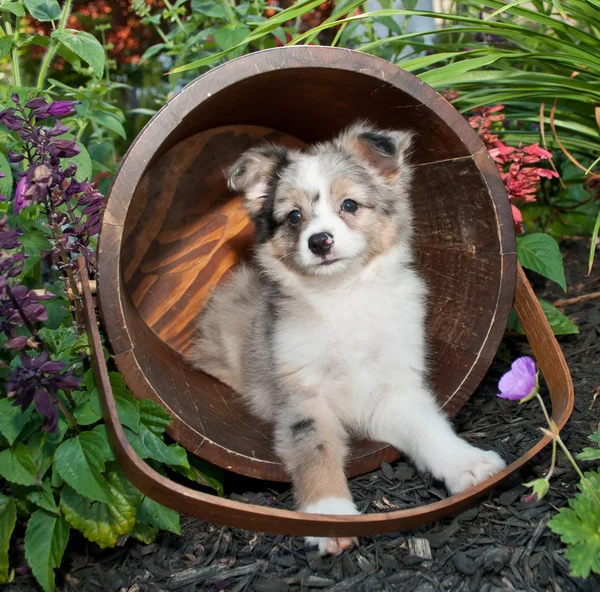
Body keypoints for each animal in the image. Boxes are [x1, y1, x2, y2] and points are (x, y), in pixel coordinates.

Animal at [189, 120, 506, 556]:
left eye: (350, 205)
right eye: (294, 216)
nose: (319, 241)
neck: (343, 295)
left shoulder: (393, 390)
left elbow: (429, 428)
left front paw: (466, 464)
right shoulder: (304, 397)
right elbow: (316, 453)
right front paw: (331, 514)